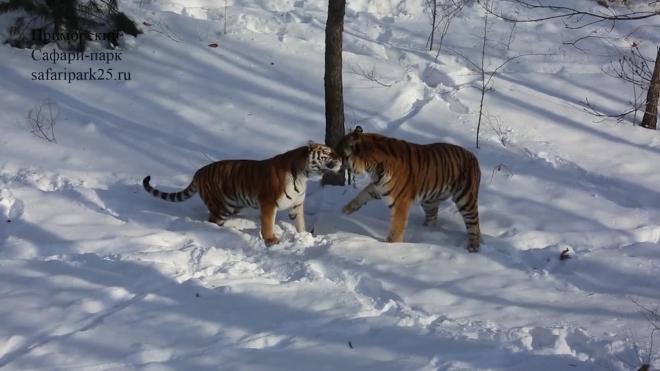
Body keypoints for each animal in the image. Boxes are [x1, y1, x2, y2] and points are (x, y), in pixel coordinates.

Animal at [142, 142, 342, 247]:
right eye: (328, 152)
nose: (341, 158)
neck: (304, 175)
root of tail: (199, 172)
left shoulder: (296, 204)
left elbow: (300, 223)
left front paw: (305, 237)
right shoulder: (268, 203)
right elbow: (267, 223)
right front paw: (271, 240)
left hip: (233, 205)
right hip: (221, 208)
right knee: (212, 221)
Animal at [338, 125, 482, 253]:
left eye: (341, 153)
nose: (335, 158)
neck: (373, 167)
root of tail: (474, 157)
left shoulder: (399, 201)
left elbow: (397, 226)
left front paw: (390, 245)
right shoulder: (379, 187)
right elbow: (362, 194)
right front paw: (346, 210)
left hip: (465, 198)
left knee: (474, 223)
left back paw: (473, 247)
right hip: (429, 201)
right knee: (432, 217)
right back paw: (426, 231)